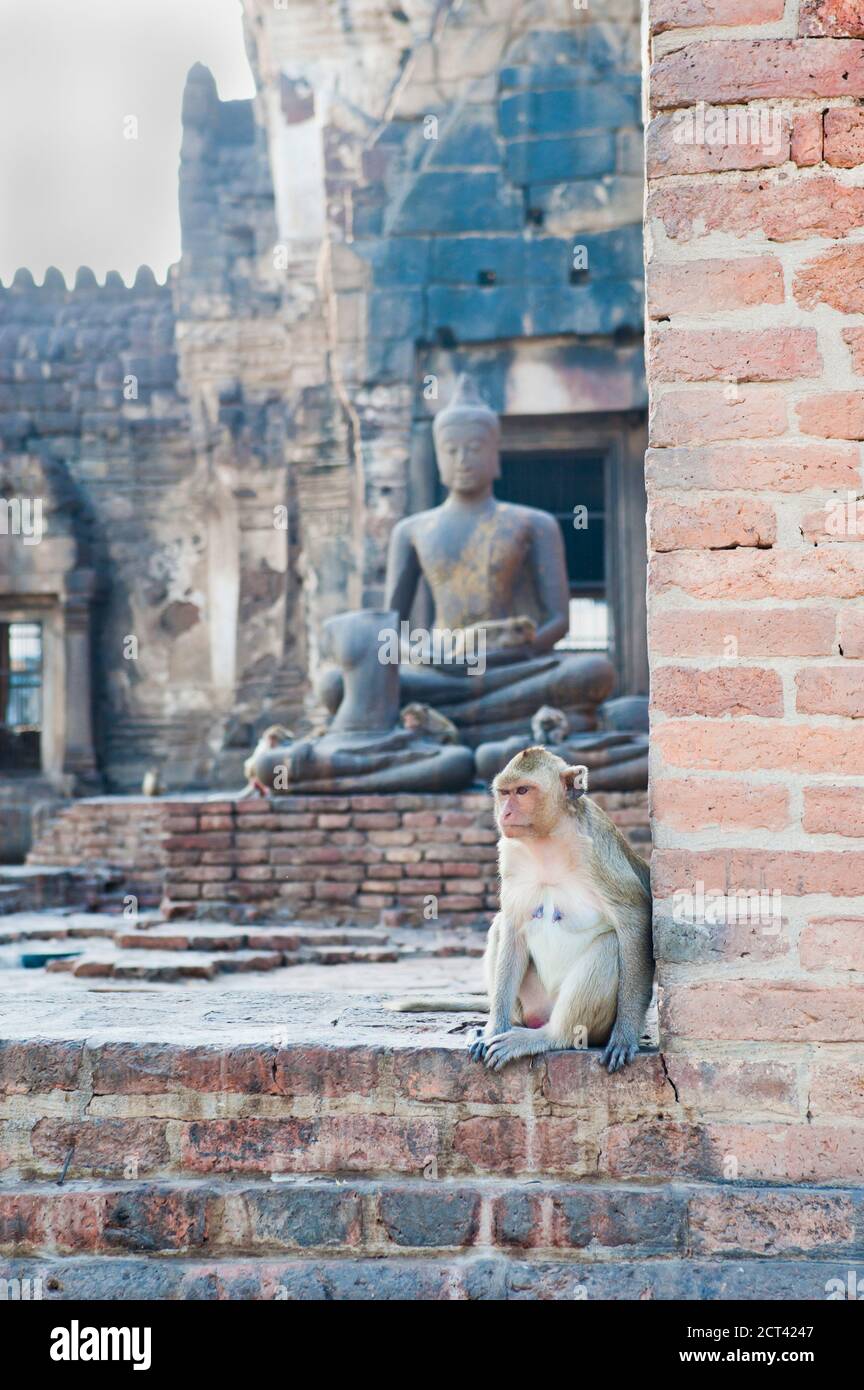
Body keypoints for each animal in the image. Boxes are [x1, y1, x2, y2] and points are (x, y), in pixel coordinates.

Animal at [469, 745, 652, 1067]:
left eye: (523, 791)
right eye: (504, 793)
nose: (504, 813)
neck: (547, 840)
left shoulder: (597, 857)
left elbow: (635, 920)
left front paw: (625, 1035)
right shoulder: (511, 854)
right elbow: (513, 926)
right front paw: (494, 1028)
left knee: (609, 945)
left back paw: (550, 1037)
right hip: (532, 1002)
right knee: (499, 925)